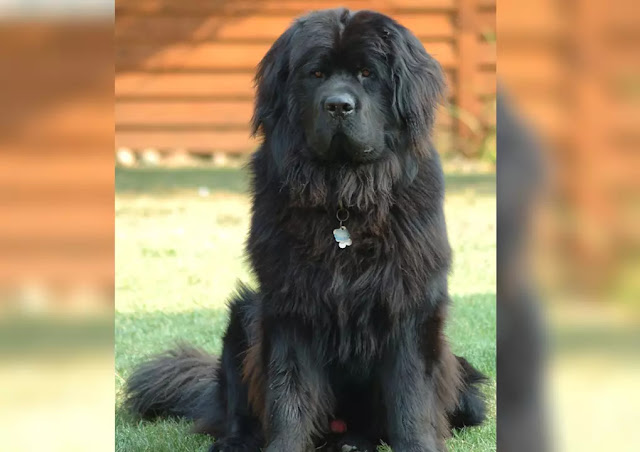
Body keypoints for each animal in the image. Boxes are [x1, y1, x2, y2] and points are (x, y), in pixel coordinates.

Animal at [124, 8, 487, 452]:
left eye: (368, 73)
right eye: (316, 74)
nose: (338, 106)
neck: (343, 199)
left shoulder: (409, 305)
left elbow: (411, 397)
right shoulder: (290, 305)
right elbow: (289, 395)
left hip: (466, 386)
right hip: (243, 316)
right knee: (238, 407)